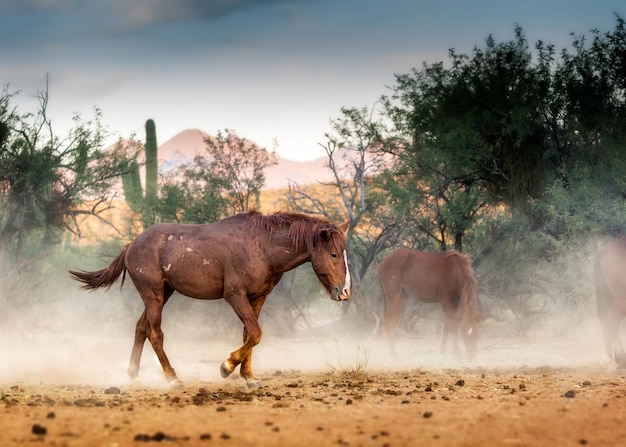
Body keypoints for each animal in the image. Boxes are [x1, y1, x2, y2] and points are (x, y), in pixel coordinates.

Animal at [71, 210, 354, 388]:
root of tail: (132, 245)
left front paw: (249, 376)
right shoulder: (235, 296)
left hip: (163, 294)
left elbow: (250, 335)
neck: (261, 246)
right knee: (155, 334)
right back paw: (172, 378)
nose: (345, 291)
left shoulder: (257, 298)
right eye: (334, 254)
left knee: (141, 328)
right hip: (153, 295)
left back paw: (133, 374)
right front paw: (227, 366)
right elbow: (255, 333)